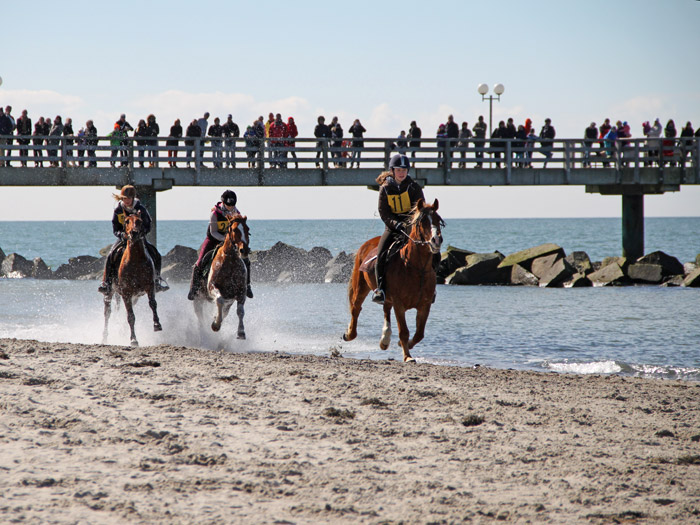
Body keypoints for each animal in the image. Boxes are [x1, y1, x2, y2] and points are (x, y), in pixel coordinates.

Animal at [102, 211, 162, 346]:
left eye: (139, 221)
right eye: (126, 221)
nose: (133, 233)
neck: (135, 261)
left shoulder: (150, 286)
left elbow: (153, 303)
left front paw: (157, 324)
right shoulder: (126, 292)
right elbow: (130, 316)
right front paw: (133, 339)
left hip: (135, 297)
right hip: (110, 292)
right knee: (107, 312)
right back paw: (104, 337)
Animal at [340, 199, 442, 362]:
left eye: (438, 219)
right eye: (423, 221)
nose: (436, 240)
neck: (417, 268)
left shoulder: (425, 305)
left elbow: (419, 334)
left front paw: (403, 345)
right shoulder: (399, 304)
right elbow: (404, 331)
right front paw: (407, 357)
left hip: (386, 296)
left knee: (385, 309)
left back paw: (385, 340)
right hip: (360, 286)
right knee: (355, 309)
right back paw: (349, 334)